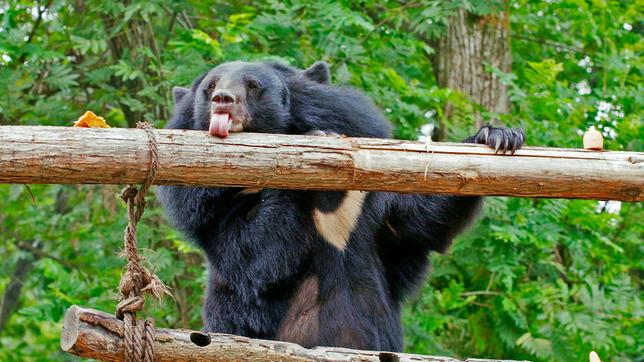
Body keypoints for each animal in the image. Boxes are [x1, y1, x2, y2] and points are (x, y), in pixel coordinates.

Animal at [156, 60, 524, 352]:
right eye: (210, 87)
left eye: (252, 85)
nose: (223, 101)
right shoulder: (210, 208)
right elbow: (252, 259)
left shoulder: (369, 197)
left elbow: (416, 223)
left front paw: (498, 136)